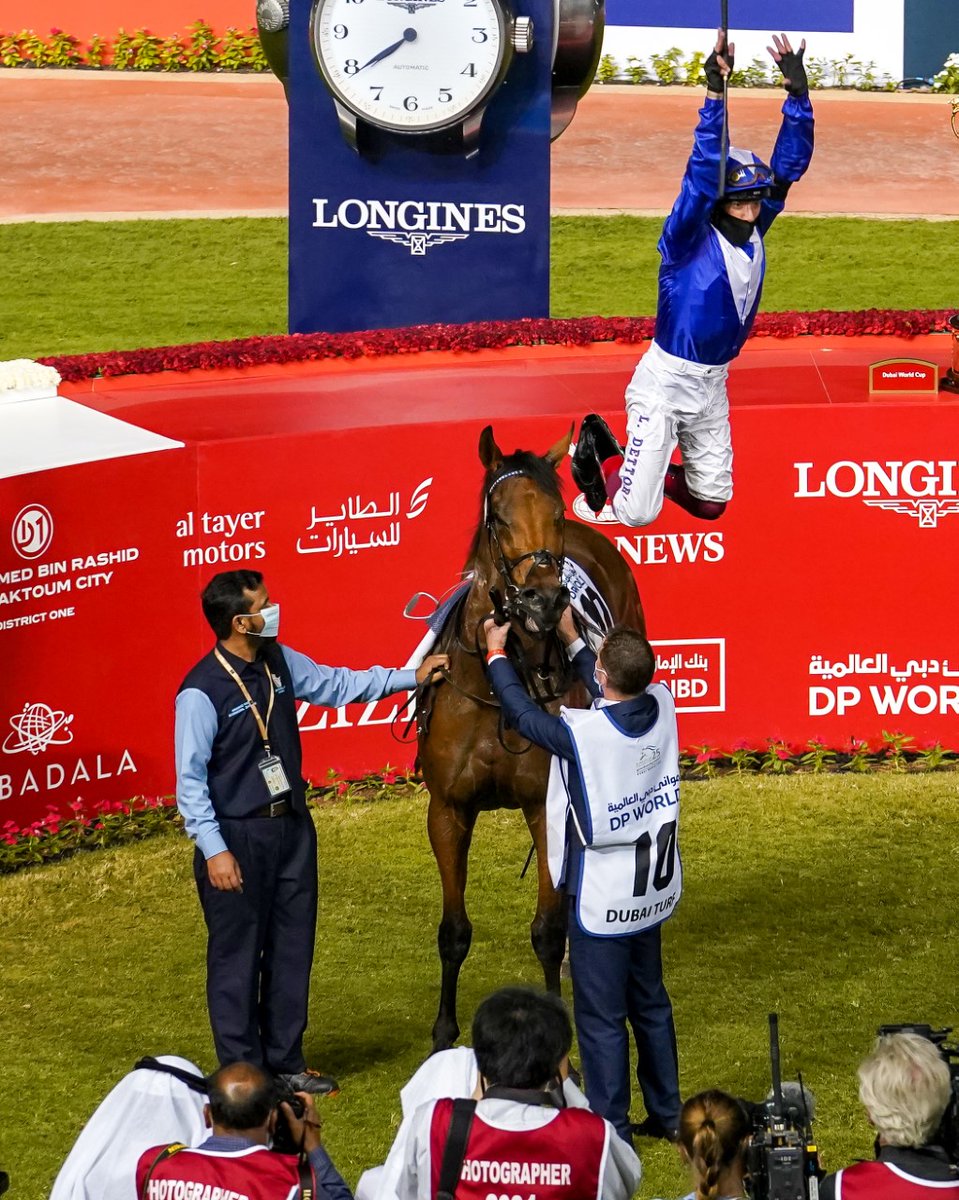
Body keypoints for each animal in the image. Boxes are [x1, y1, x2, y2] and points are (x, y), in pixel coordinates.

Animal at [420, 422, 643, 1051]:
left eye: (557, 512)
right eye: (498, 517)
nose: (545, 599)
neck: (496, 692)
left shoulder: (546, 808)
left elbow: (547, 928)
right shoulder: (447, 810)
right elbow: (454, 930)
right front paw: (443, 1029)